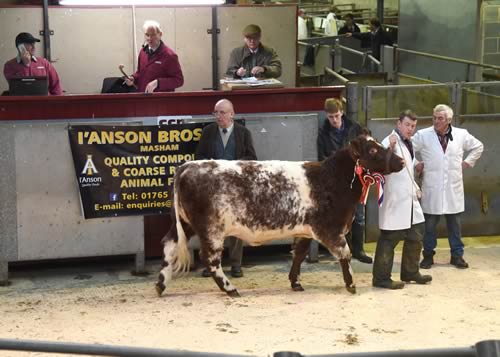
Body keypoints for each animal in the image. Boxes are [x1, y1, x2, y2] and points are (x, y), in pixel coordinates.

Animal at [154, 134, 404, 294]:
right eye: (373, 150)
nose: (401, 160)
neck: (331, 179)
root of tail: (186, 166)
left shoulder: (305, 231)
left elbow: (299, 255)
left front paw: (295, 283)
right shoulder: (329, 229)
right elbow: (345, 254)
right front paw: (351, 284)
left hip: (184, 223)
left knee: (168, 244)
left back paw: (160, 285)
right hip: (211, 229)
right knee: (211, 260)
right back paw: (230, 289)